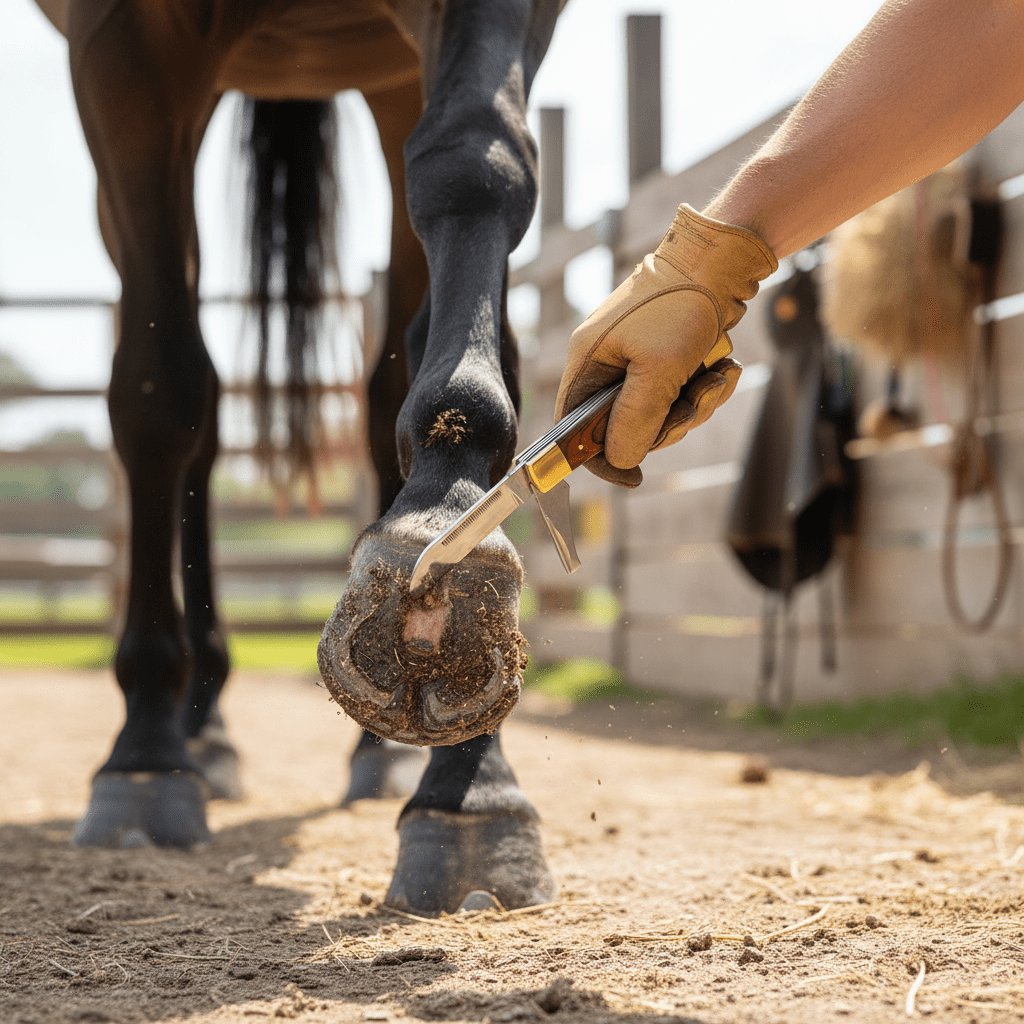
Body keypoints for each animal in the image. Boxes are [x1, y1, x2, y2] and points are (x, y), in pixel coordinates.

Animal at [34, 0, 565, 917]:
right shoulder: (118, 45)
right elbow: (158, 392)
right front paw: (144, 757)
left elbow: (478, 168)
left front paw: (472, 786)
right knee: (192, 394)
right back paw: (194, 732)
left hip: (386, 82)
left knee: (385, 362)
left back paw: (375, 757)